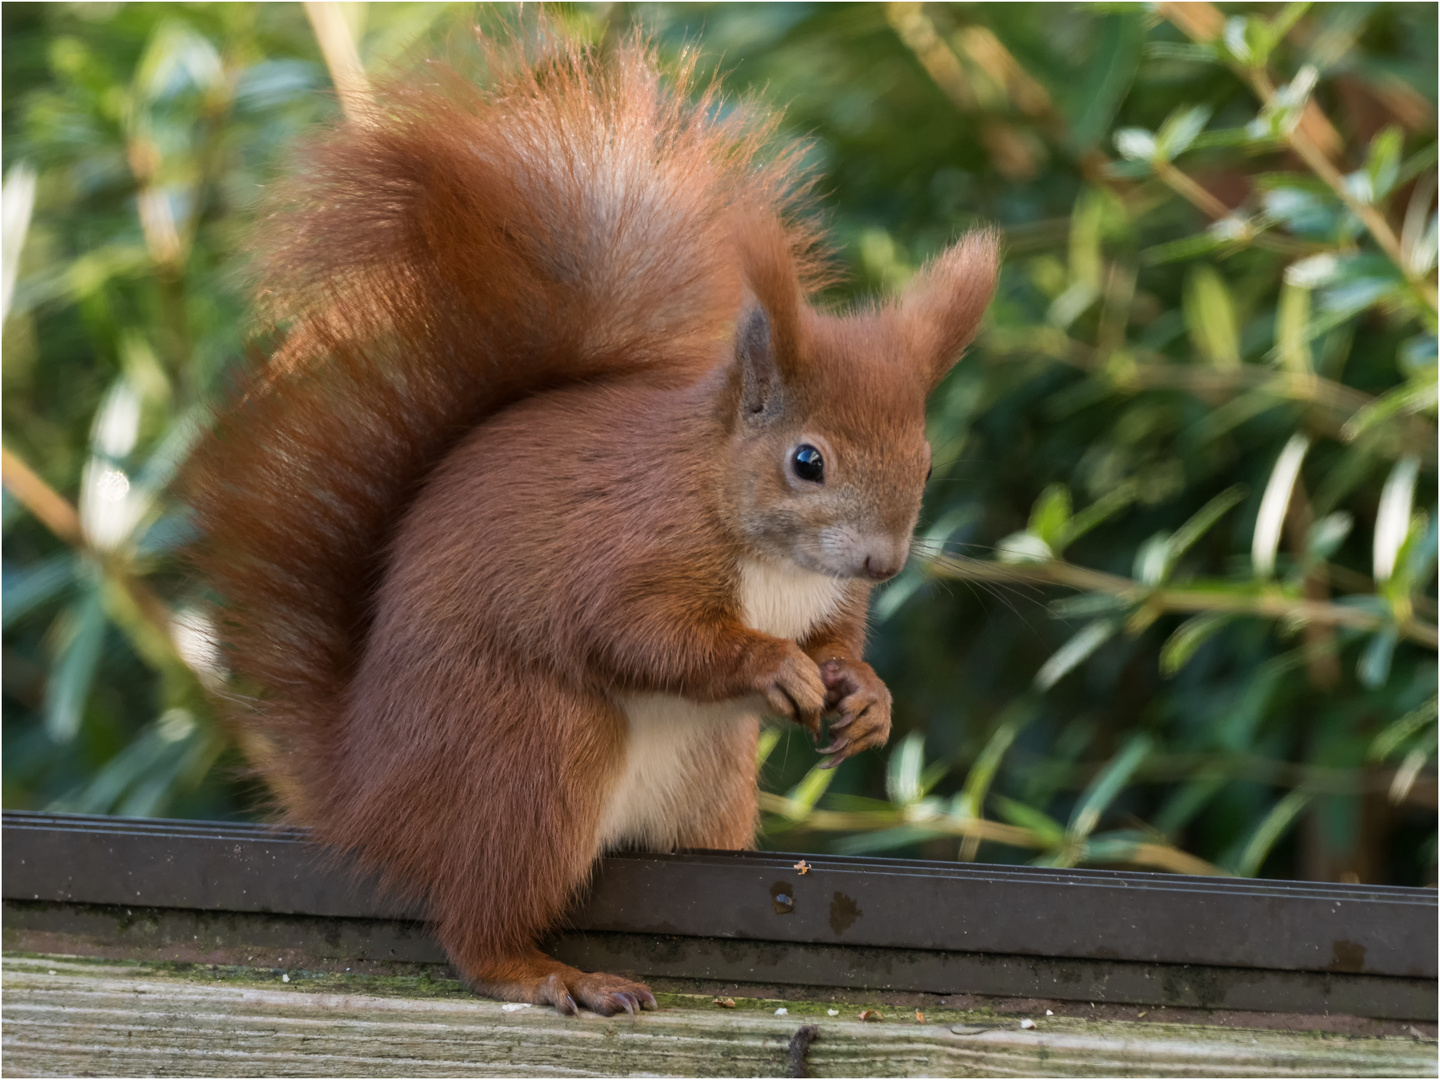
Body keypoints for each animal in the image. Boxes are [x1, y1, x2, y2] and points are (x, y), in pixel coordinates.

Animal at [185, 31, 996, 1013]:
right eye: (808, 462)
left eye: (927, 463)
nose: (883, 562)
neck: (765, 551)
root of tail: (366, 797)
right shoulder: (626, 549)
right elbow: (635, 633)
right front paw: (771, 665)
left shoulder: (829, 599)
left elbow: (839, 640)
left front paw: (865, 695)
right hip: (534, 751)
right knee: (478, 924)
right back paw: (548, 973)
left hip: (710, 786)